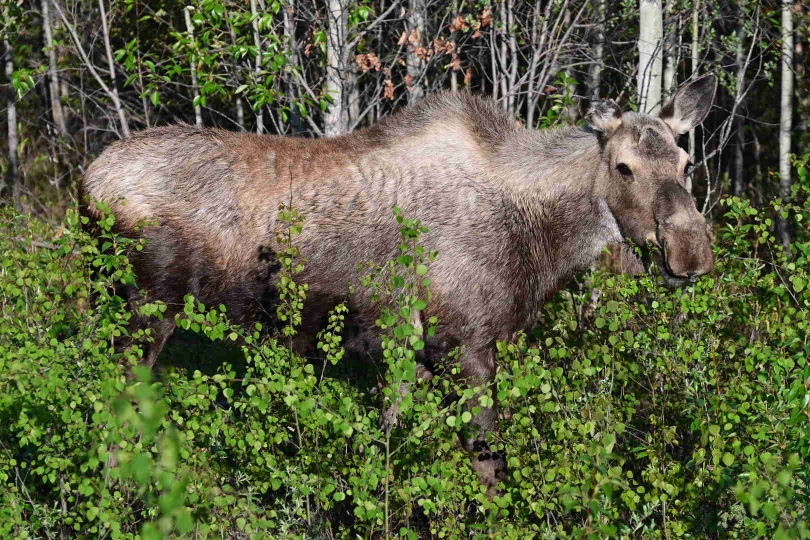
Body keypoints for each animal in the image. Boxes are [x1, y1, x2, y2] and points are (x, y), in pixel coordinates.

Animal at [80, 74, 712, 492]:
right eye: (624, 167)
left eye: (686, 164)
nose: (691, 255)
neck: (541, 242)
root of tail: (85, 185)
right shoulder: (465, 343)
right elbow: (487, 465)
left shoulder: (417, 351)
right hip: (144, 309)